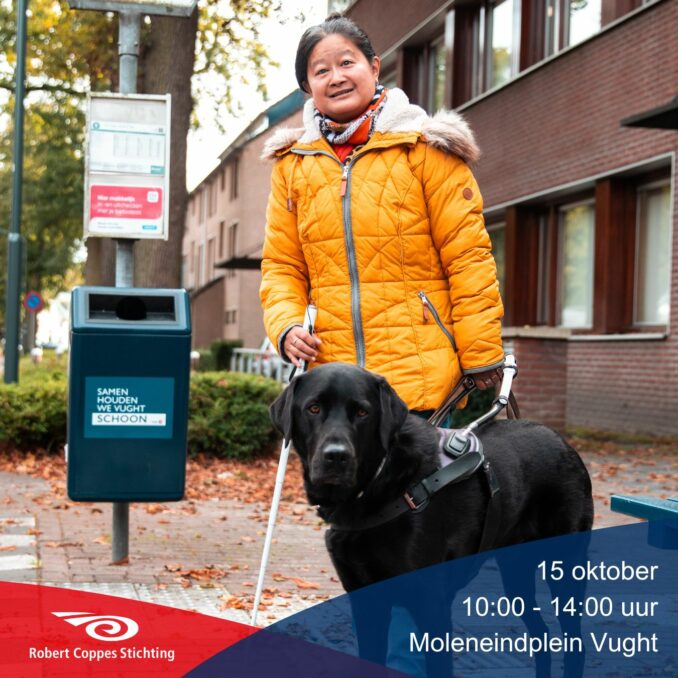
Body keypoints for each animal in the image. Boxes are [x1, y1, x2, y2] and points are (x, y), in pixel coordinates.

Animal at [270, 364, 596, 676]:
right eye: (313, 408)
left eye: (363, 412)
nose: (336, 456)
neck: (378, 485)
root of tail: (563, 443)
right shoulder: (366, 601)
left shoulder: (432, 606)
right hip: (516, 573)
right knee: (541, 634)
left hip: (565, 568)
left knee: (574, 643)